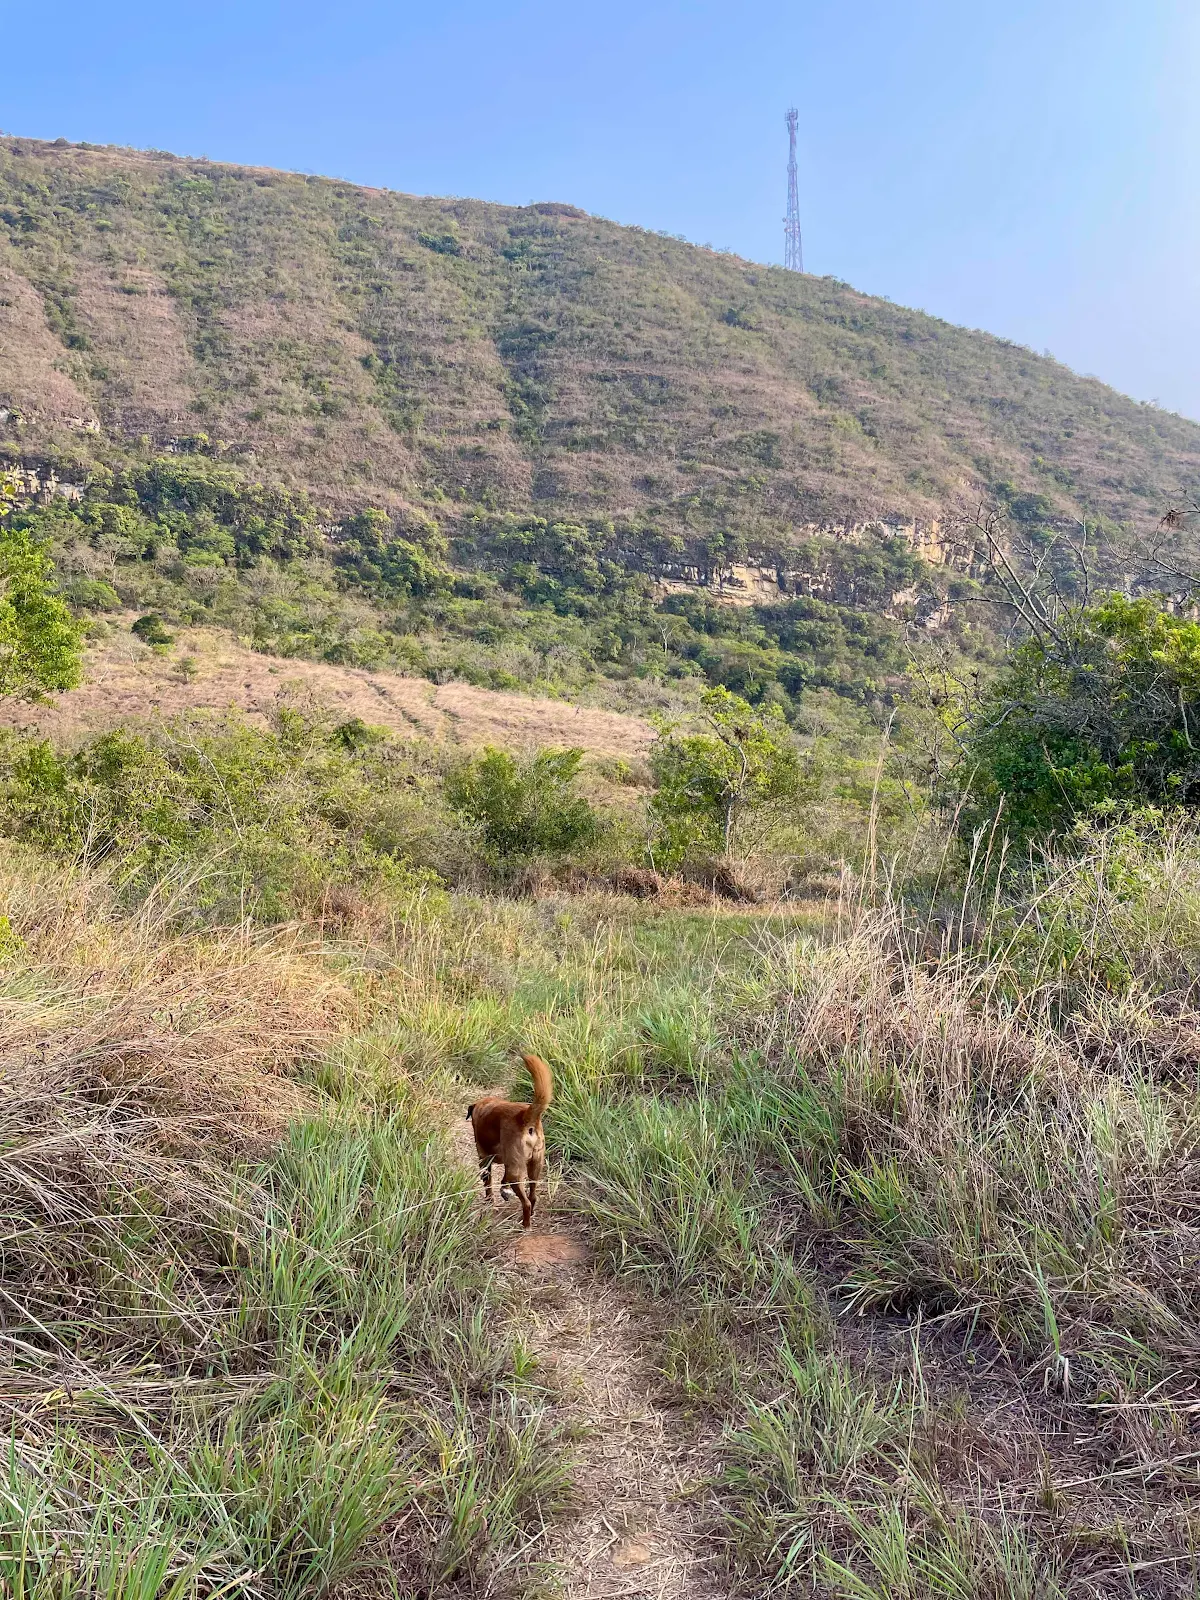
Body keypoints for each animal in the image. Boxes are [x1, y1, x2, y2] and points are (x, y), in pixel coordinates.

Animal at [466, 1054, 552, 1229]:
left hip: (516, 1171)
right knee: (533, 1196)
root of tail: (525, 1116)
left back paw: (525, 1224)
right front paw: (504, 1191)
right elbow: (502, 1180)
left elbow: (488, 1184)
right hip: (535, 1166)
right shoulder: (507, 1162)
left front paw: (489, 1201)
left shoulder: (484, 1160)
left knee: (526, 1202)